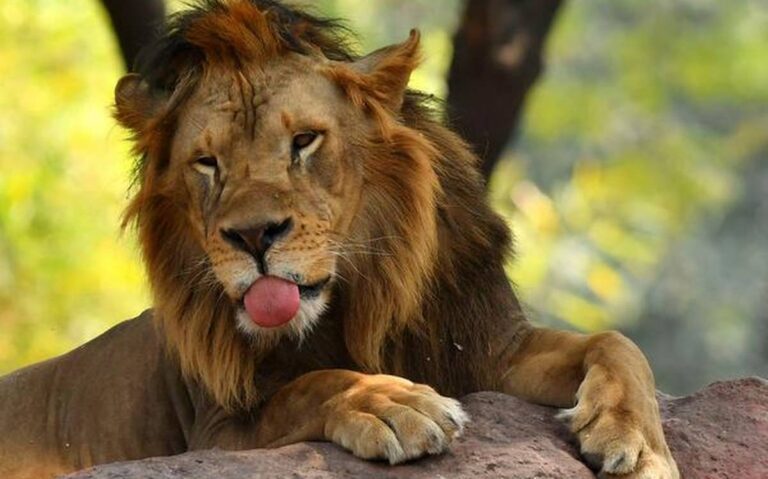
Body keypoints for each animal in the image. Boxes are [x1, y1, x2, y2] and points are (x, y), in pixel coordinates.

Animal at [0, 1, 679, 478]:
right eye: (207, 163)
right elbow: (312, 384)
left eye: (304, 141)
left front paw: (638, 446)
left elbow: (618, 344)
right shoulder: (214, 430)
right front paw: (391, 405)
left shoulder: (489, 348)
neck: (361, 296)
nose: (254, 235)